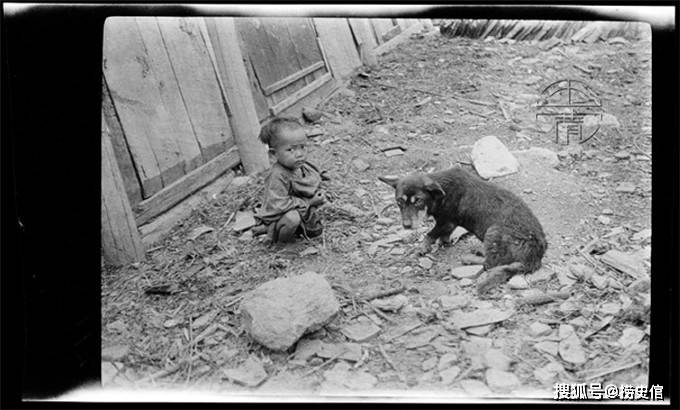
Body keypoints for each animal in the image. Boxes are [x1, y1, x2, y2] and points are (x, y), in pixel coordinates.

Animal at [380, 168, 548, 294]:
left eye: (418, 201)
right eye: (399, 202)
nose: (406, 226)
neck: (441, 192)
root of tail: (534, 258)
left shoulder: (447, 222)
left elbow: (429, 235)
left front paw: (423, 247)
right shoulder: (447, 225)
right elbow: (442, 236)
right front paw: (443, 243)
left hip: (493, 230)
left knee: (489, 264)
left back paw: (470, 258)